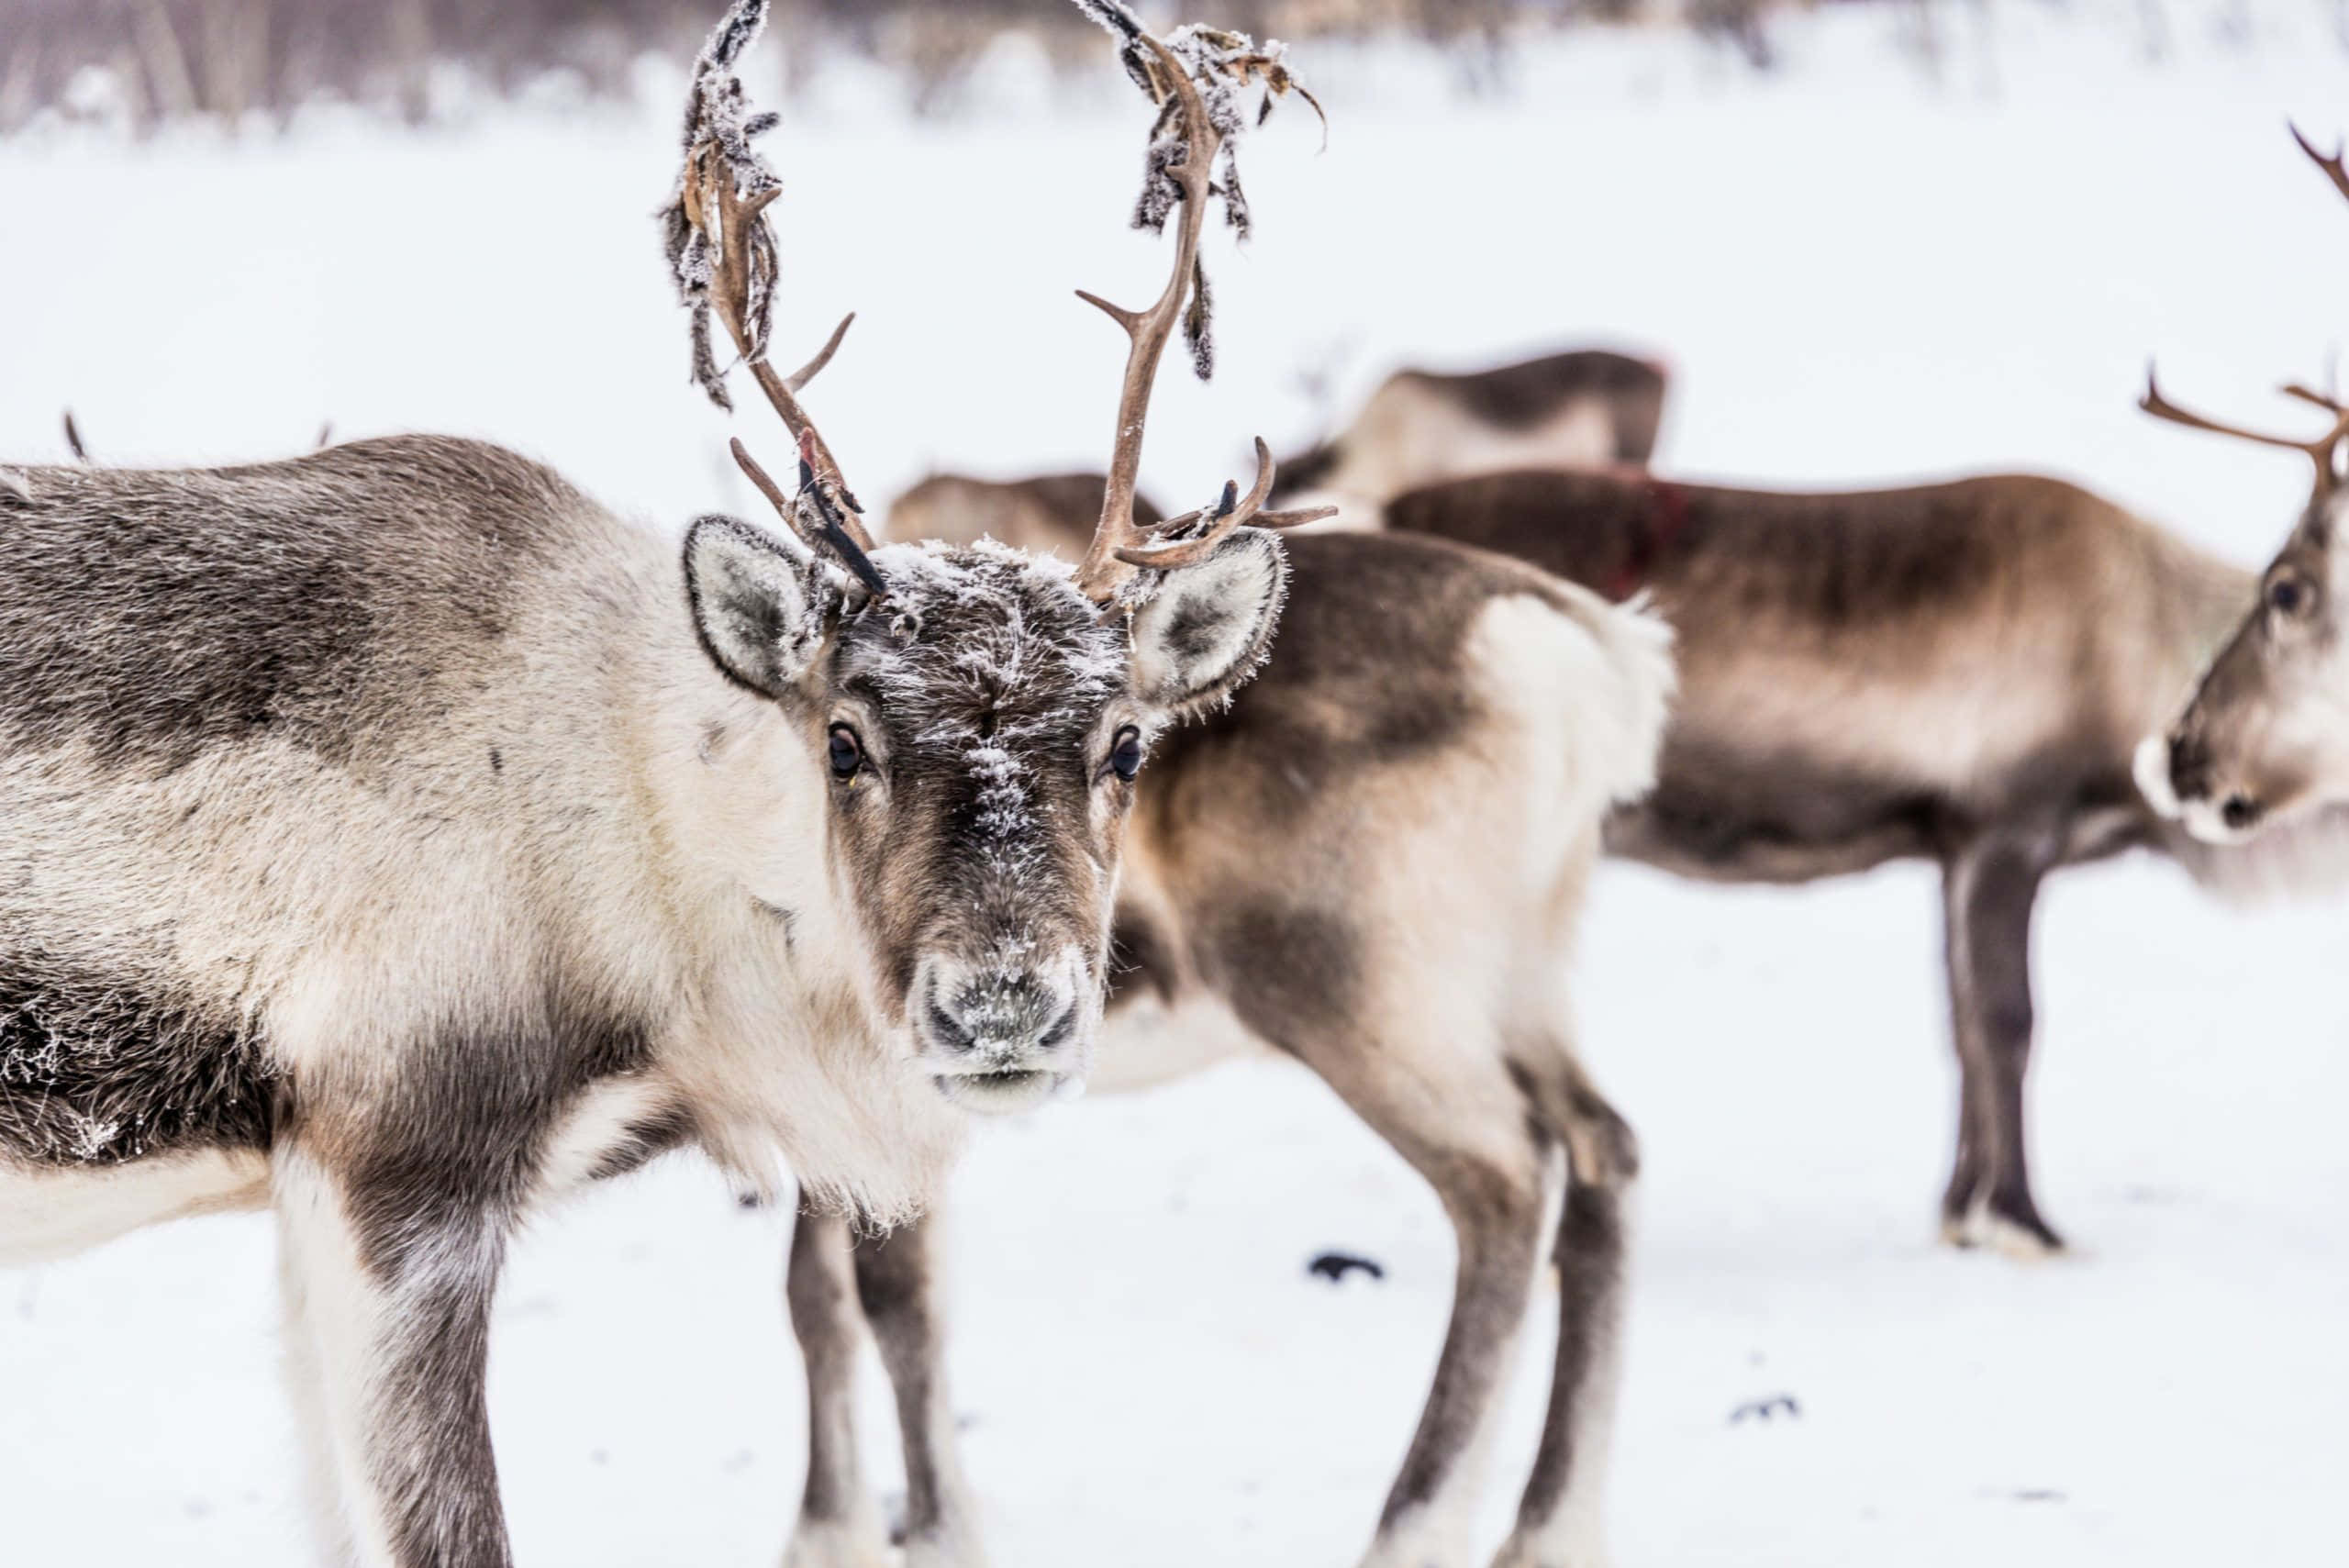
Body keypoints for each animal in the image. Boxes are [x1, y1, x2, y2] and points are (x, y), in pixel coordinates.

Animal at [780, 8, 1676, 1568]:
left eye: (1124, 742)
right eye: (850, 737)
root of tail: (1579, 654)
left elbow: (886, 1293)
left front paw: (923, 1528)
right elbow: (819, 1289)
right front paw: (826, 1527)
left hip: (1357, 975)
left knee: (1510, 1179)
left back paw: (1414, 1522)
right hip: (1522, 957)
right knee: (1603, 1149)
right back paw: (1544, 1524)